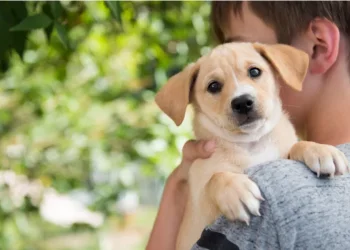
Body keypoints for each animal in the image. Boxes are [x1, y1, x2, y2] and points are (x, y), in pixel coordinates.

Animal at [154, 42, 348, 250]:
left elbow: (296, 146)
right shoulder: (199, 208)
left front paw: (320, 150)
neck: (252, 143)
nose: (242, 102)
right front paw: (236, 190)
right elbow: (215, 178)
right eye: (213, 86)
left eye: (254, 71)